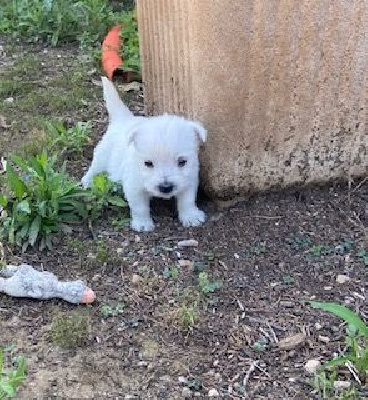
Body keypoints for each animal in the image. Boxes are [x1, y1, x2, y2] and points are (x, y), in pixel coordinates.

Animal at [82, 77, 207, 231]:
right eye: (148, 163)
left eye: (182, 162)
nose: (166, 187)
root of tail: (122, 119)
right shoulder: (134, 186)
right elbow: (139, 207)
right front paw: (143, 224)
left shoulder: (189, 180)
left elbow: (187, 201)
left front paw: (191, 217)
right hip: (102, 157)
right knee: (94, 169)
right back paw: (88, 181)